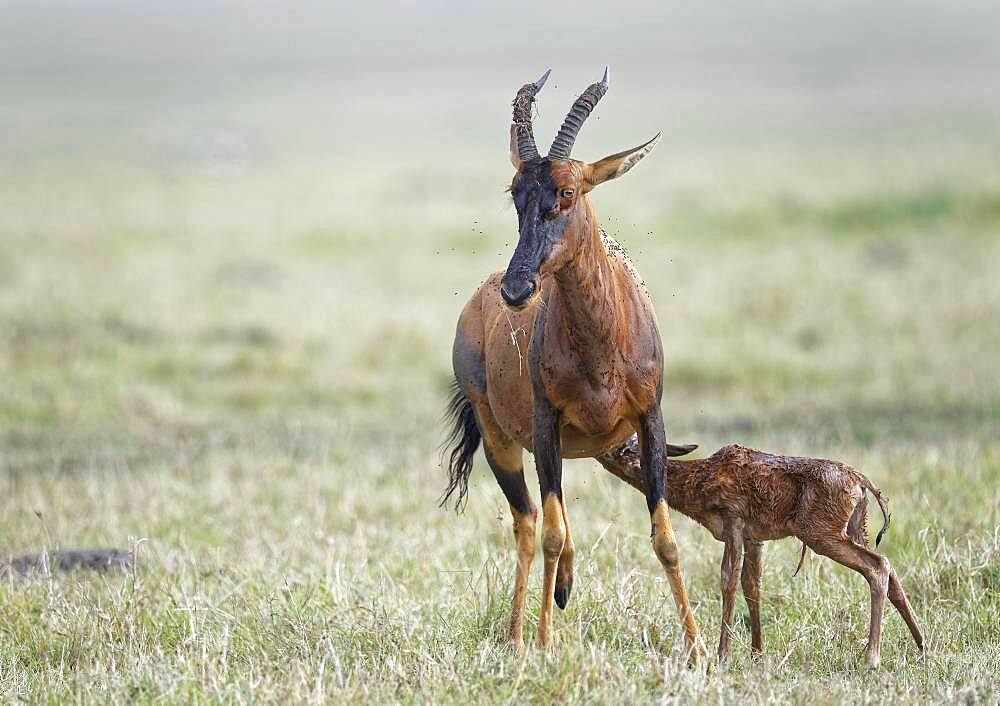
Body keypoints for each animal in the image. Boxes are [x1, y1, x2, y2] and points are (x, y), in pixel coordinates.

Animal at [446, 67, 704, 656]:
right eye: (515, 192)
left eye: (567, 192)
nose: (518, 289)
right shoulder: (546, 426)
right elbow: (551, 531)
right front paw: (544, 641)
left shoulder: (650, 421)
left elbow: (665, 537)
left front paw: (700, 648)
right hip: (503, 441)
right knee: (529, 523)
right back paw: (519, 635)